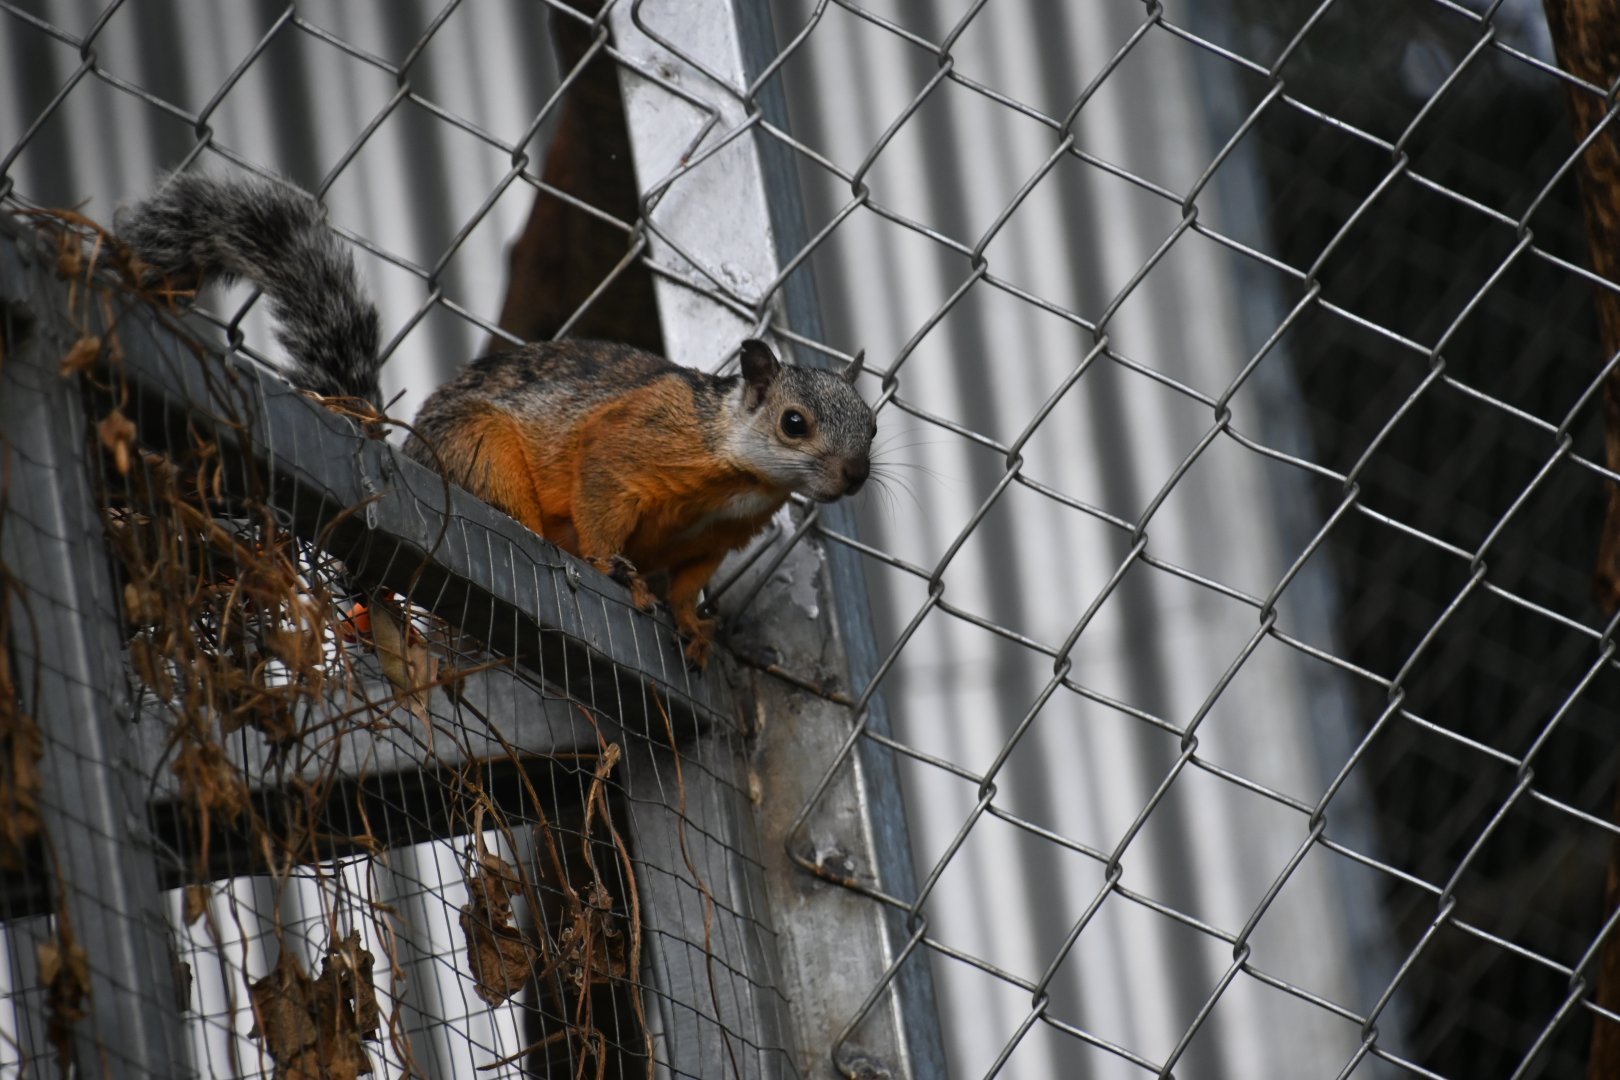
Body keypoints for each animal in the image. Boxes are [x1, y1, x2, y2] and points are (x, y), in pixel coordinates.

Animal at [116, 171, 876, 665]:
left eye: (871, 426)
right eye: (794, 423)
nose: (857, 476)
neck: (738, 467)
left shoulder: (715, 538)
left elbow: (690, 582)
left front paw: (693, 626)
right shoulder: (635, 442)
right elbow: (602, 495)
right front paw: (621, 574)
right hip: (482, 455)